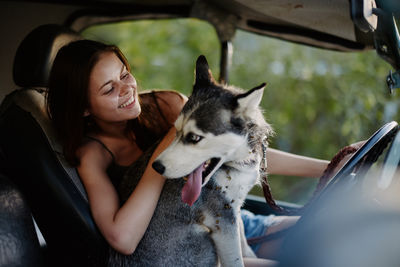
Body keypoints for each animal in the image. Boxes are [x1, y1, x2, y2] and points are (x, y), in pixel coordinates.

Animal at [112, 55, 274, 266]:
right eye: (176, 130)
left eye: (194, 138)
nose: (156, 167)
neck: (238, 162)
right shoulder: (222, 220)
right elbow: (236, 259)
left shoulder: (233, 210)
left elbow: (243, 240)